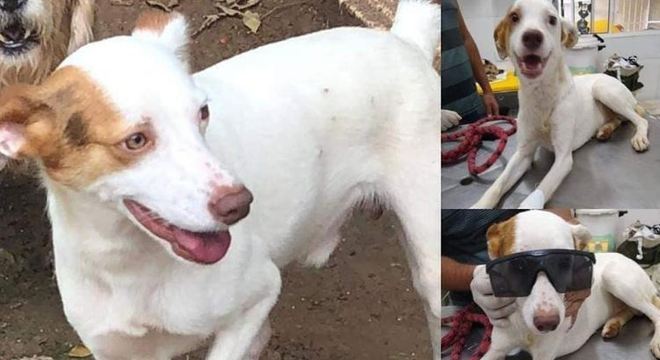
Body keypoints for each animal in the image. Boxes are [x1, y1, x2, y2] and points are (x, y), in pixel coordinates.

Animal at [0, 0, 440, 360]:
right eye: (136, 140)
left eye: (202, 113)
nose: (240, 204)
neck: (127, 266)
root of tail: (402, 40)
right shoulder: (114, 348)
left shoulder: (257, 300)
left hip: (431, 268)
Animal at [480, 210, 660, 358]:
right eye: (519, 265)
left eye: (565, 262)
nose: (548, 323)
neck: (525, 328)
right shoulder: (496, 349)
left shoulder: (544, 354)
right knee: (633, 311)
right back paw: (613, 324)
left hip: (613, 277)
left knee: (654, 313)